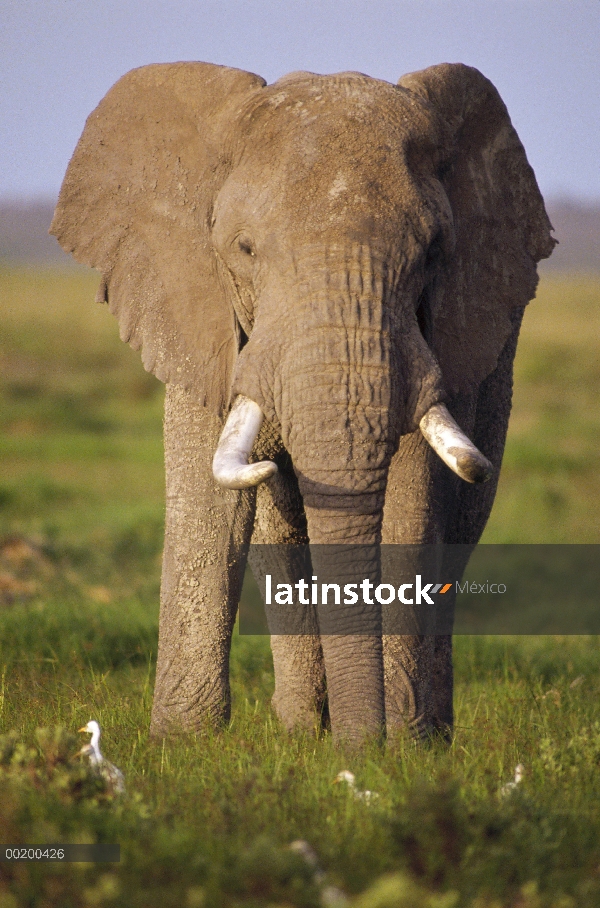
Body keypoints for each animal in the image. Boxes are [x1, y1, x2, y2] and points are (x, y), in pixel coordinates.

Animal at [51, 62, 552, 744]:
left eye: (432, 253)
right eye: (244, 249)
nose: (363, 746)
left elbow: (412, 503)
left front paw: (403, 748)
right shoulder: (198, 313)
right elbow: (209, 509)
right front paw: (181, 747)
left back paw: (421, 734)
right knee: (280, 534)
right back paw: (301, 730)